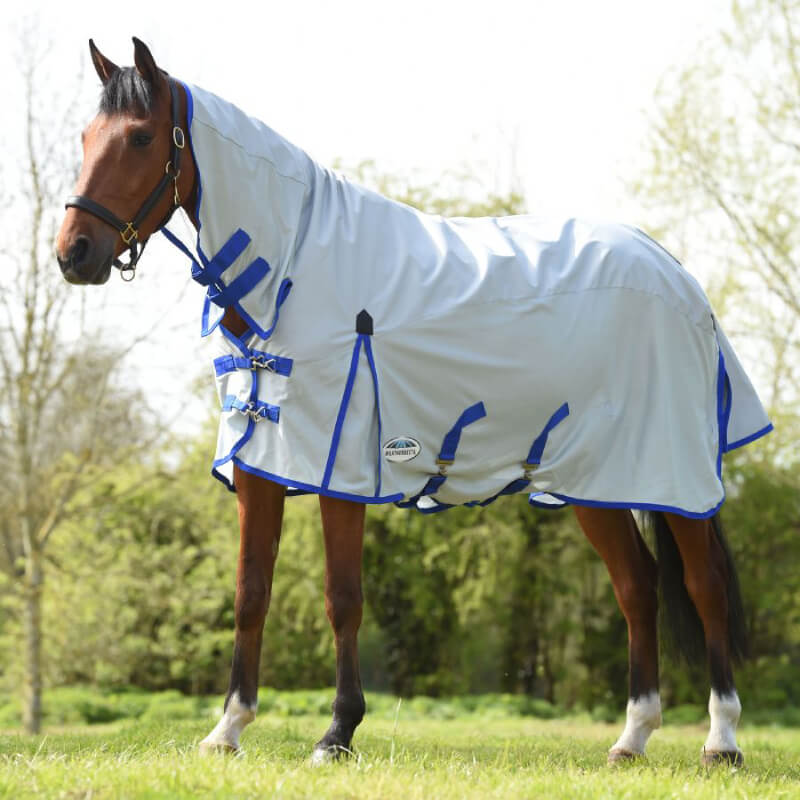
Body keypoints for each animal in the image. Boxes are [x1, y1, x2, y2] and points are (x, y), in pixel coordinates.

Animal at [55, 37, 771, 766]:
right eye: (85, 137)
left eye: (141, 137)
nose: (73, 253)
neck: (292, 268)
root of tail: (676, 274)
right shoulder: (262, 464)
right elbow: (250, 593)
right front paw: (227, 729)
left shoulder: (339, 469)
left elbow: (343, 598)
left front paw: (337, 733)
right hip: (592, 481)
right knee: (637, 588)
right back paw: (632, 737)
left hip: (671, 475)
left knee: (704, 586)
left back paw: (722, 740)